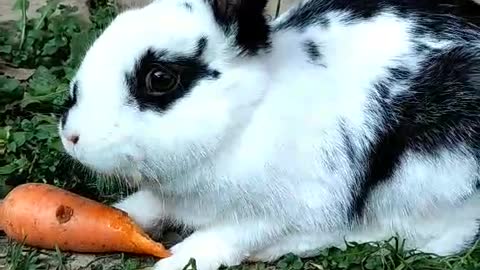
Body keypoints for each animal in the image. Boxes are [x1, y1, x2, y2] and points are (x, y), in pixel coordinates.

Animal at [59, 0, 480, 268]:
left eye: (160, 79)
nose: (71, 136)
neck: (246, 116)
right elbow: (144, 207)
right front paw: (117, 212)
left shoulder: (274, 212)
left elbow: (222, 238)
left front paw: (175, 263)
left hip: (430, 181)